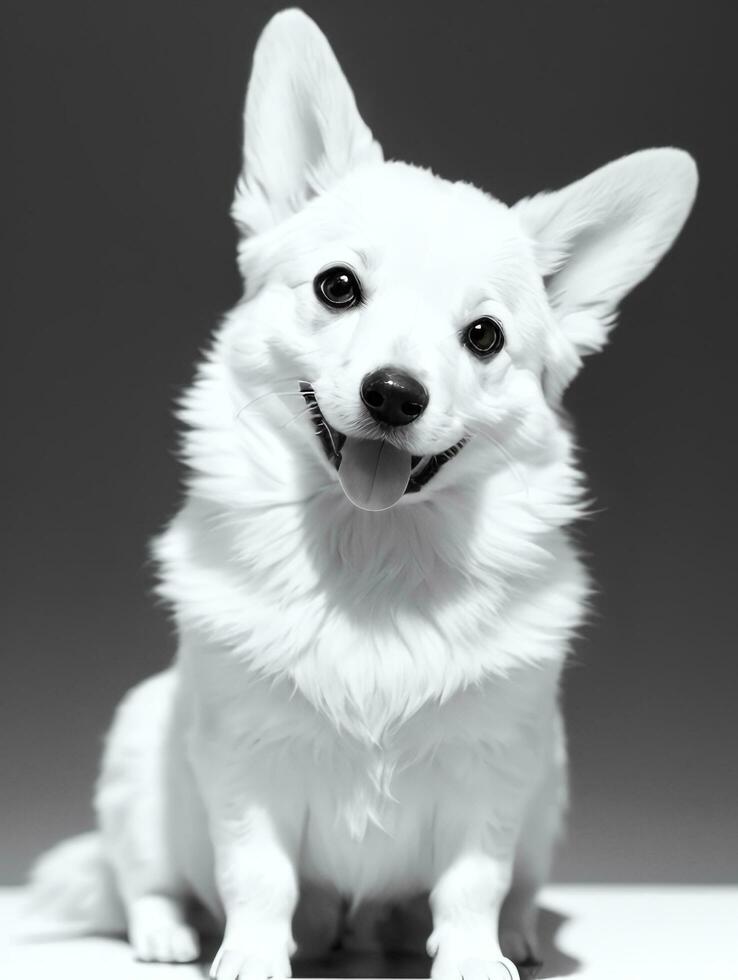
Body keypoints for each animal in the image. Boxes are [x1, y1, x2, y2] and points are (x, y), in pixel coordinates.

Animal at [25, 7, 696, 980]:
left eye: (484, 337)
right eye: (338, 287)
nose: (394, 394)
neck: (373, 549)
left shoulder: (494, 774)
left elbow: (473, 884)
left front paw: (474, 958)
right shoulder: (244, 765)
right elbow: (258, 876)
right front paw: (251, 957)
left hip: (552, 782)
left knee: (512, 886)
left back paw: (516, 937)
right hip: (137, 753)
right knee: (140, 879)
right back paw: (168, 934)